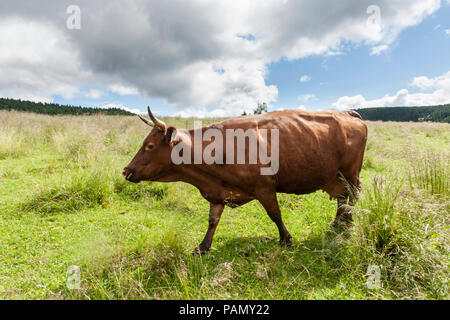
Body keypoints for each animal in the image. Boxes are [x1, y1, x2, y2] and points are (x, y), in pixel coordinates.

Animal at [122, 106, 366, 254]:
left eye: (149, 146)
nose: (126, 171)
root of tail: (348, 113)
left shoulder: (265, 188)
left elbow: (275, 215)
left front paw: (286, 239)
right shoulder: (218, 193)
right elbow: (212, 221)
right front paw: (203, 247)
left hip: (350, 173)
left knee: (352, 197)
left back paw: (347, 222)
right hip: (337, 176)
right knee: (342, 199)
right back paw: (338, 222)